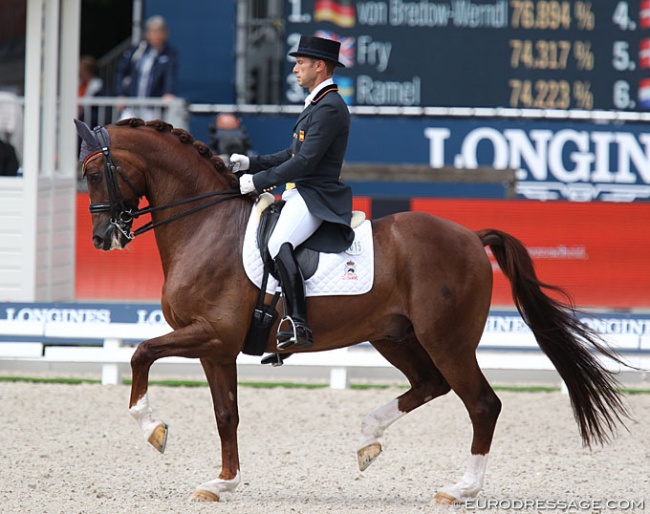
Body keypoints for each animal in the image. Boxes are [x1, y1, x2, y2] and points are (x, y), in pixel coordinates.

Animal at [76, 118, 628, 502]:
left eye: (93, 172)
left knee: (481, 404)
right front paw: (223, 482)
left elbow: (141, 354)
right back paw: (369, 437)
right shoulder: (218, 349)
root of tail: (471, 236)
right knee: (430, 385)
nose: (103, 238)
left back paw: (460, 489)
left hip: (446, 340)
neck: (205, 225)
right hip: (394, 336)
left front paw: (153, 429)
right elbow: (226, 413)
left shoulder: (210, 334)